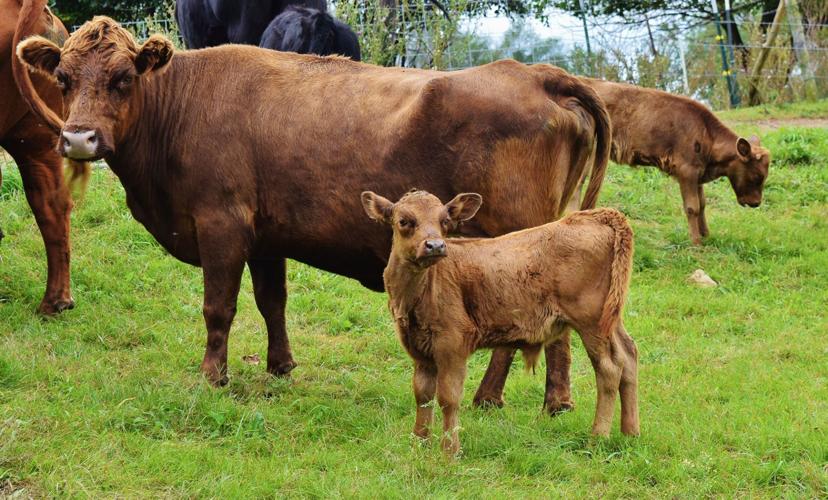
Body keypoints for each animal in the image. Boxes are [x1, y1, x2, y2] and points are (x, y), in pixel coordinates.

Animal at [14, 10, 610, 407]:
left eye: (123, 79)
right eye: (63, 78)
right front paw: (280, 366)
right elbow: (271, 302)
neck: (180, 105)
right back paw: (551, 400)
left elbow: (218, 308)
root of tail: (540, 75)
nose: (79, 139)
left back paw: (500, 396)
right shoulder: (265, 236)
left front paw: (212, 375)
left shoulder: (221, 225)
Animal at [361, 189, 638, 455]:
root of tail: (594, 216)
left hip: (591, 323)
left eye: (445, 221)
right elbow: (423, 395)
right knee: (628, 355)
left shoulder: (452, 346)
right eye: (404, 221)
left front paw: (449, 452)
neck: (419, 291)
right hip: (610, 321)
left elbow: (448, 398)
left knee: (609, 368)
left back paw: (598, 437)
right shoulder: (420, 350)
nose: (436, 246)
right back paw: (630, 433)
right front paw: (419, 444)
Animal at [579, 78, 771, 245]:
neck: (707, 135)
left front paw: (706, 235)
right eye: (757, 176)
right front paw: (696, 243)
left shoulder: (699, 174)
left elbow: (702, 204)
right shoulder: (687, 171)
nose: (756, 203)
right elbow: (692, 207)